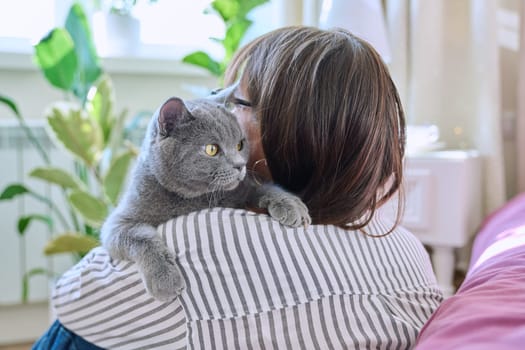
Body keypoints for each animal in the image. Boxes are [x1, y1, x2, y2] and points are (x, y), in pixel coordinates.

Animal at [100, 94, 310, 302]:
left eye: (240, 145)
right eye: (212, 149)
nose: (240, 165)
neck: (193, 199)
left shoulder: (244, 190)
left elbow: (265, 189)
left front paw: (292, 206)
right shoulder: (118, 222)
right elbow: (140, 238)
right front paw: (164, 279)